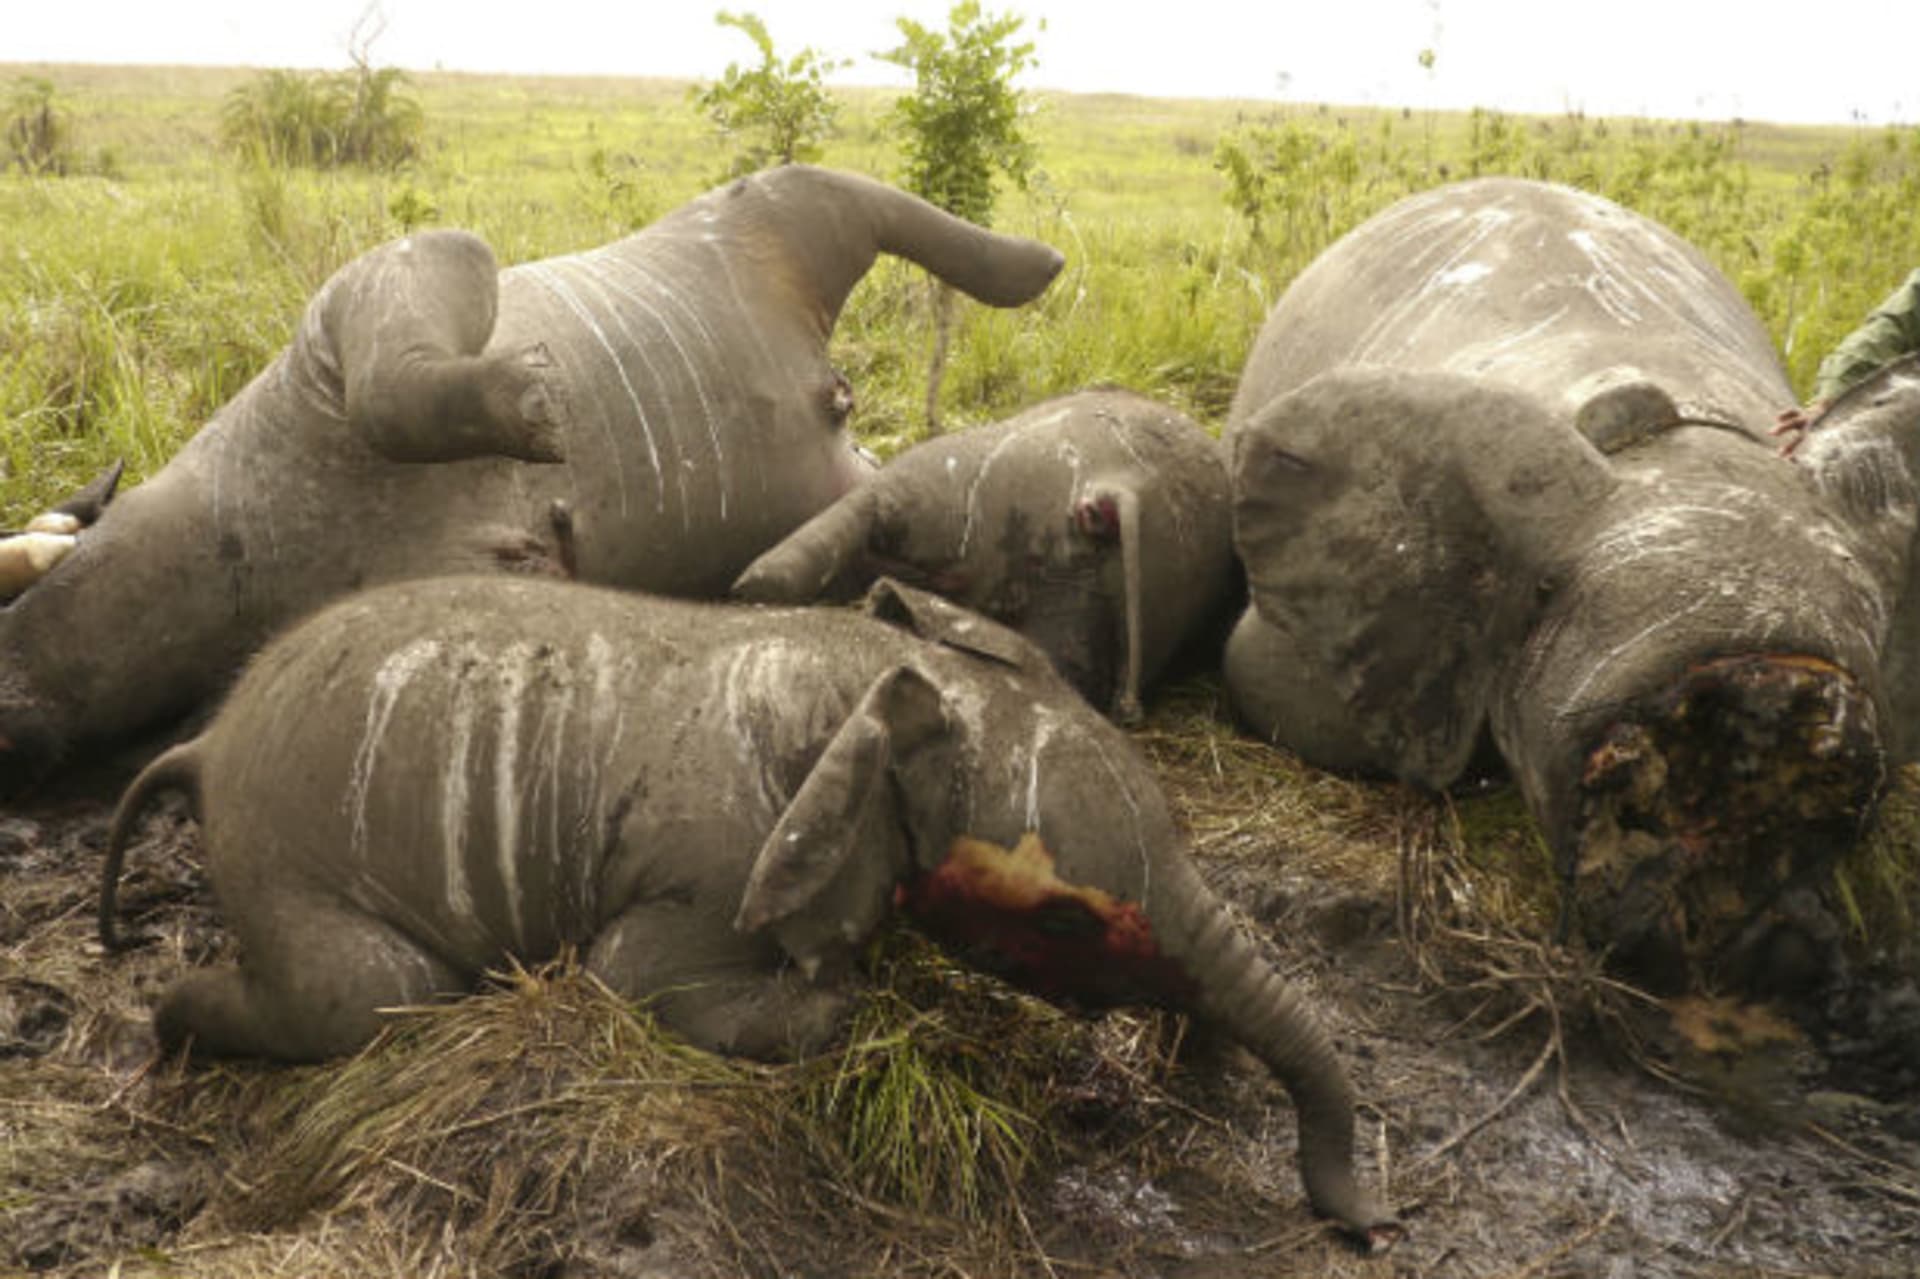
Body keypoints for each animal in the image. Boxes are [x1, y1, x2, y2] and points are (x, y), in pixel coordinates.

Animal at [0, 165, 1064, 788]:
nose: (18, 723)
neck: (248, 538)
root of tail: (828, 389)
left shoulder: (393, 280)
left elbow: (401, 390)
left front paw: (532, 403)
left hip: (782, 204)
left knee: (905, 217)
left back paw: (1038, 263)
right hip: (837, 454)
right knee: (870, 507)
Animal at [97, 574, 1394, 1243]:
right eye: (1069, 921)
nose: (1366, 1227)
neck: (856, 671)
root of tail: (205, 746)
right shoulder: (707, 871)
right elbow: (647, 978)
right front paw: (834, 985)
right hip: (287, 859)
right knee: (374, 996)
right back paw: (164, 1028)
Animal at [731, 388, 1235, 721]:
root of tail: (1114, 483)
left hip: (949, 482)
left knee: (857, 516)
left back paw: (752, 589)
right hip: (1105, 599)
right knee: (1063, 665)